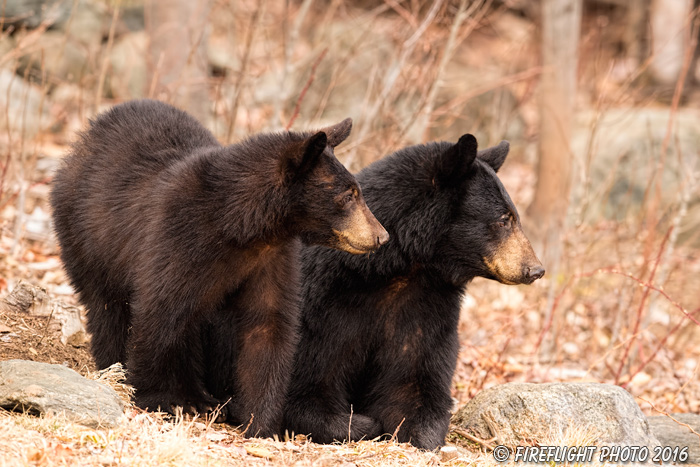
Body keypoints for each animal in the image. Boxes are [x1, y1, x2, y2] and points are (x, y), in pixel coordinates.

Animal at [49, 99, 388, 438]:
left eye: (356, 191)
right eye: (348, 196)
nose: (381, 236)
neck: (241, 227)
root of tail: (89, 133)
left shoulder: (271, 258)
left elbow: (268, 325)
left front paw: (262, 422)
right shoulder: (178, 238)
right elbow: (160, 313)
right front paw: (160, 397)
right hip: (86, 236)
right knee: (109, 307)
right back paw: (122, 368)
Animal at [282, 134, 544, 450]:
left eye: (514, 216)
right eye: (504, 219)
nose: (535, 269)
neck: (396, 270)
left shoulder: (425, 308)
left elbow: (413, 382)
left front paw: (417, 434)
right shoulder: (322, 306)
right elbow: (308, 385)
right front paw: (361, 424)